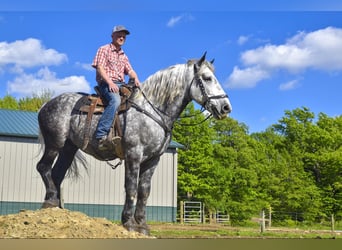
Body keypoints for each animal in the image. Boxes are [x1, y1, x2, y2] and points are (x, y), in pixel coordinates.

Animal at [36, 52, 232, 234]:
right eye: (207, 78)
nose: (226, 107)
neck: (151, 110)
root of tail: (45, 105)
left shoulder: (153, 159)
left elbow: (144, 191)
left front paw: (142, 225)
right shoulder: (133, 155)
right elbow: (131, 188)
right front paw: (129, 223)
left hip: (69, 148)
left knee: (57, 174)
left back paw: (54, 205)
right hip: (55, 143)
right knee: (43, 167)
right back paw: (51, 200)